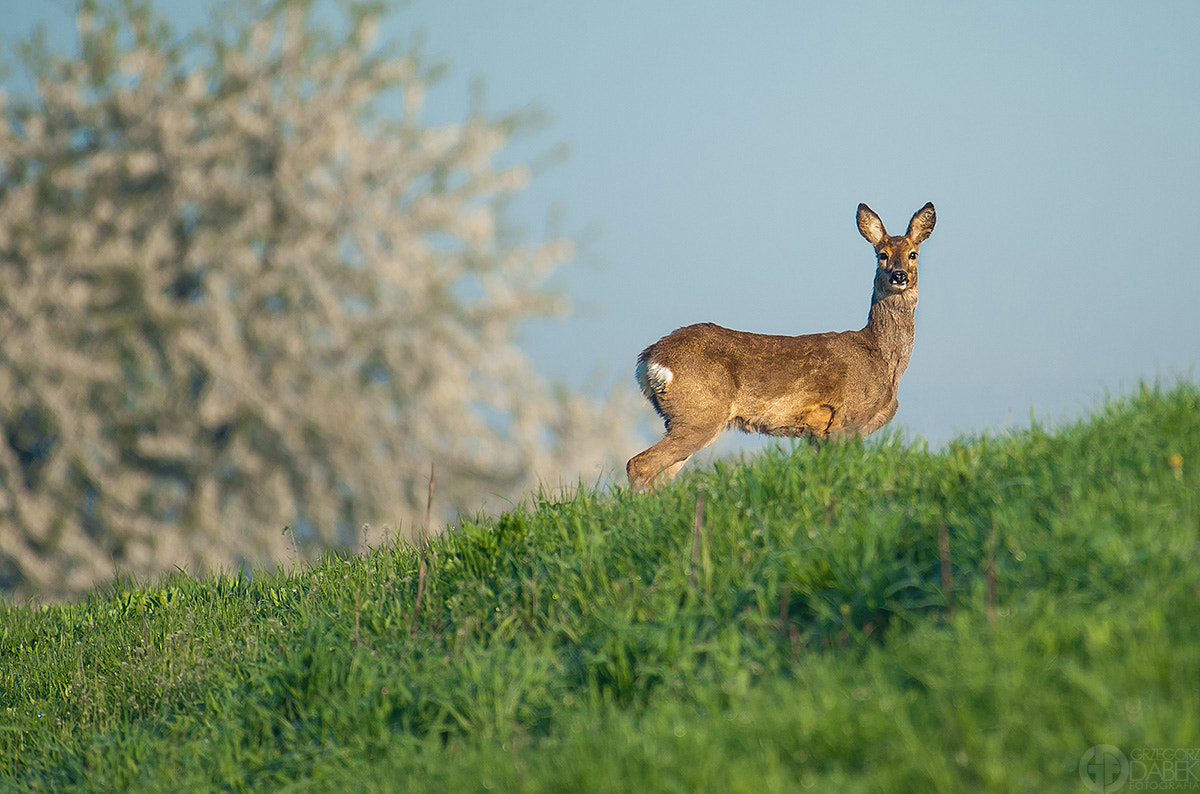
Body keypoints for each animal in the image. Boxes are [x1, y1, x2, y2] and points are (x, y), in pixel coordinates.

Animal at [626, 202, 936, 492]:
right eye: (882, 254)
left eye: (913, 254)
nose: (899, 275)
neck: (882, 357)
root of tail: (650, 359)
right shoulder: (847, 420)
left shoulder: (818, 434)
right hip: (700, 413)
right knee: (638, 464)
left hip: (683, 418)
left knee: (660, 475)